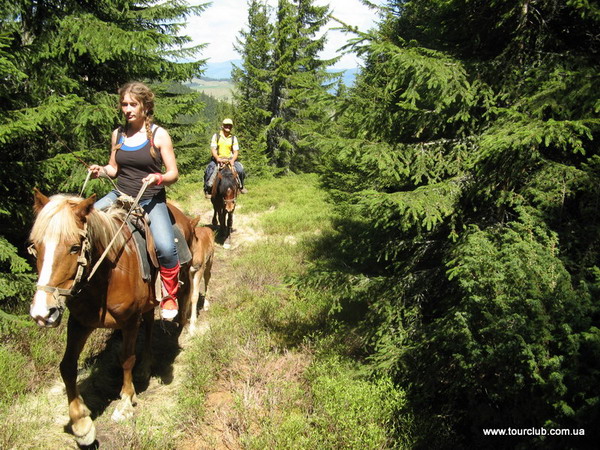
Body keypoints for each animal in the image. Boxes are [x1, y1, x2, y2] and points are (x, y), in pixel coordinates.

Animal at [29, 188, 193, 444]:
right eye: (36, 246)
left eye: (74, 247)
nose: (42, 313)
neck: (107, 276)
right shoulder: (79, 323)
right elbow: (67, 366)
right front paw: (81, 424)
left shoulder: (129, 321)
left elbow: (126, 359)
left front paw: (125, 402)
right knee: (148, 325)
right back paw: (145, 367)